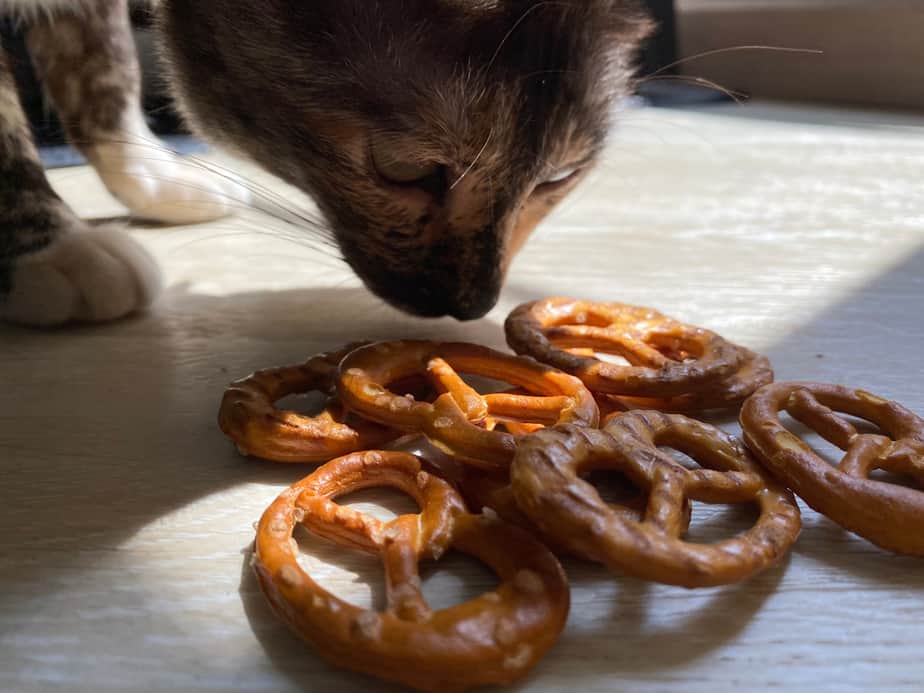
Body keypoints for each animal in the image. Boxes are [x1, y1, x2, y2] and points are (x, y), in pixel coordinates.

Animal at [0, 0, 648, 326]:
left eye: (558, 179)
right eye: (404, 170)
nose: (471, 307)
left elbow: (103, 64)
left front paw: (151, 178)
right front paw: (53, 244)